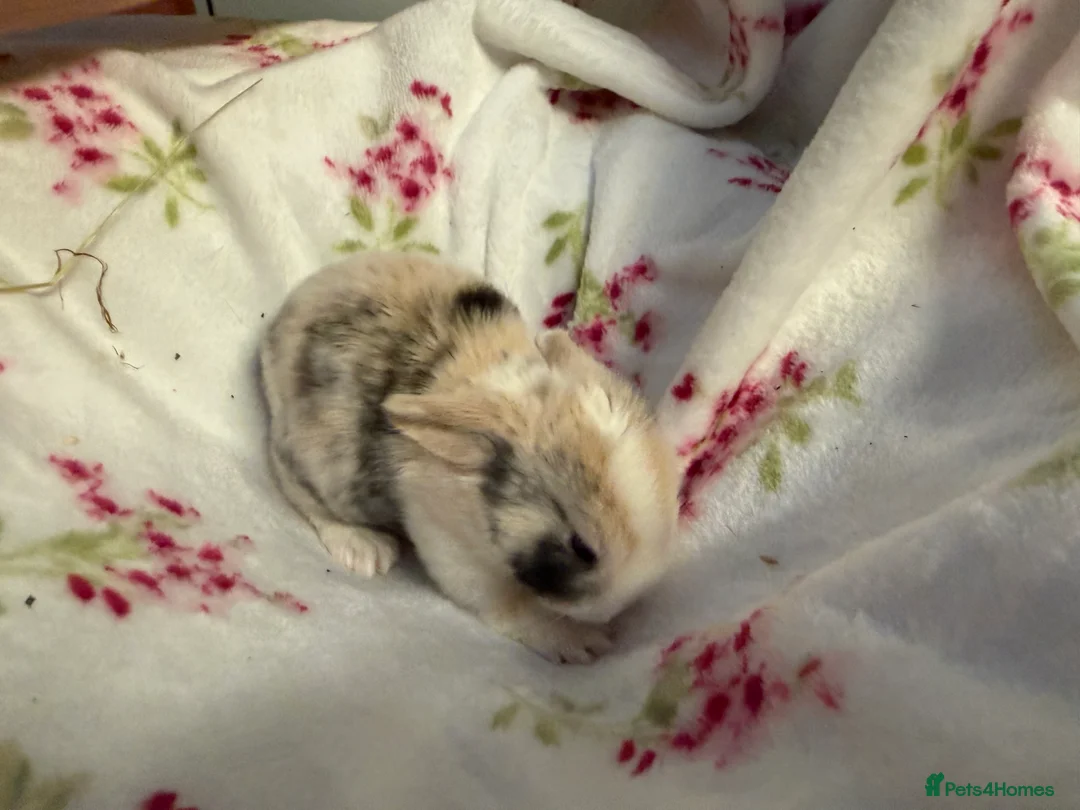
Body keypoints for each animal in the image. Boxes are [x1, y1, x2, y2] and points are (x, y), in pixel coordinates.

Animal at [259, 252, 680, 663]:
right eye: (581, 547)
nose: (618, 607)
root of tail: (274, 332)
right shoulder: (452, 546)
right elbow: (509, 606)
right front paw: (583, 642)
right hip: (316, 467)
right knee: (294, 487)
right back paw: (366, 549)